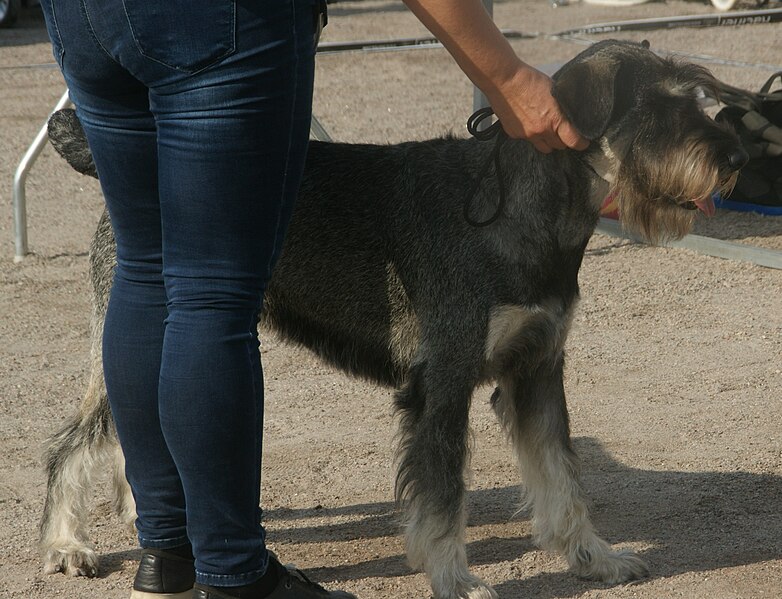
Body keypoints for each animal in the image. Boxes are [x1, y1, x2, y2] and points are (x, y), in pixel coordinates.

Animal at [38, 38, 748, 599]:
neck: (523, 211)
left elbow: (563, 477)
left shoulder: (539, 370)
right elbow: (443, 497)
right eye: (655, 109)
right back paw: (66, 545)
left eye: (698, 96)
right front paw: (455, 580)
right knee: (74, 442)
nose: (735, 158)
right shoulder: (444, 384)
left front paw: (595, 558)